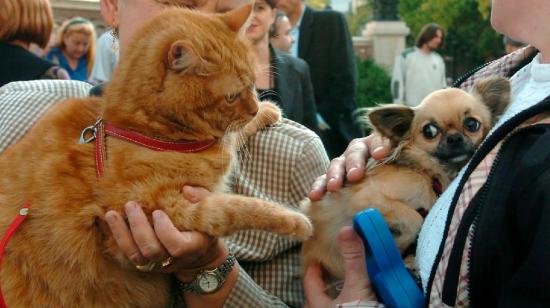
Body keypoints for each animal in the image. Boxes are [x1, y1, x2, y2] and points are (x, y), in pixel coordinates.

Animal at [0, 5, 312, 308]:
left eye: (252, 84)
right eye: (232, 96)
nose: (254, 107)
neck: (142, 130)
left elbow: (231, 138)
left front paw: (266, 111)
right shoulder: (165, 208)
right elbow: (236, 207)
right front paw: (295, 221)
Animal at [302, 76, 512, 288]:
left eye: (471, 124)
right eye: (430, 131)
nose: (454, 138)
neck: (428, 174)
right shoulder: (365, 199)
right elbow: (415, 219)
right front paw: (397, 246)